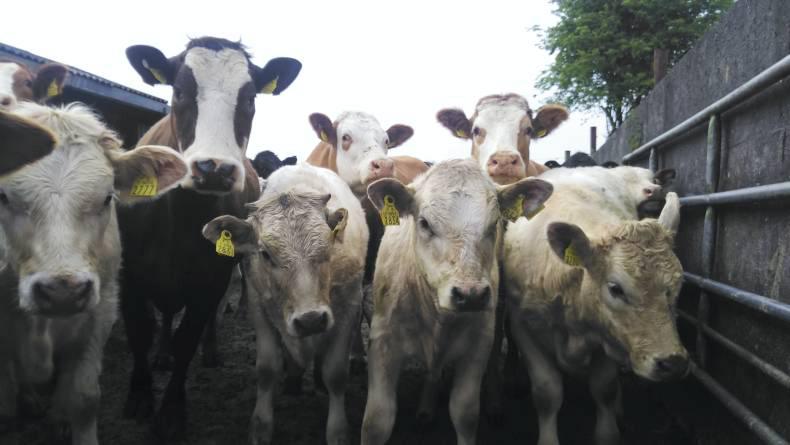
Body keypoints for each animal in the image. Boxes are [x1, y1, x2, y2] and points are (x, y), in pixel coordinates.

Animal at [119, 36, 301, 439]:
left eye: (249, 98)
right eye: (179, 91)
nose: (213, 169)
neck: (180, 216)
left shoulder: (211, 278)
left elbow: (190, 335)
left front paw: (172, 411)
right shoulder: (128, 275)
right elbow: (140, 330)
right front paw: (139, 396)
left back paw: (211, 350)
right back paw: (162, 354)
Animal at [203, 163, 367, 445]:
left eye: (328, 246)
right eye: (265, 254)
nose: (311, 320)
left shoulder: (348, 307)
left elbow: (336, 374)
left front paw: (338, 431)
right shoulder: (259, 306)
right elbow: (267, 369)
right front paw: (261, 427)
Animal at [360, 159, 554, 445]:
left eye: (494, 223)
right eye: (424, 223)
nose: (470, 294)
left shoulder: (477, 343)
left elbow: (465, 413)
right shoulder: (383, 342)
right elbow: (376, 421)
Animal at [503, 174, 687, 445]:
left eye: (675, 286)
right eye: (615, 288)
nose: (673, 363)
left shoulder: (610, 335)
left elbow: (605, 389)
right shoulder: (523, 326)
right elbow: (547, 392)